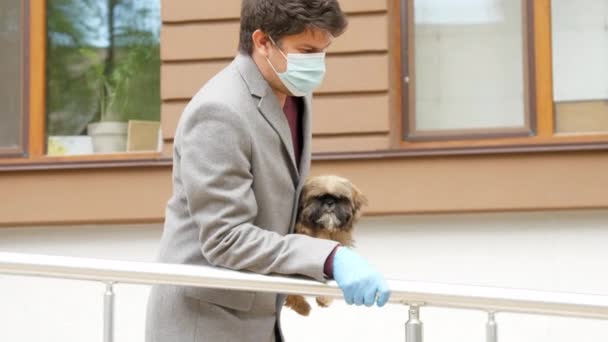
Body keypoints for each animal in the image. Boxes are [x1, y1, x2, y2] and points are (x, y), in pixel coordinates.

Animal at [284, 175, 366, 316]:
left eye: (341, 198)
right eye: (318, 197)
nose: (329, 201)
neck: (325, 231)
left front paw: (323, 299)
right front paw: (301, 304)